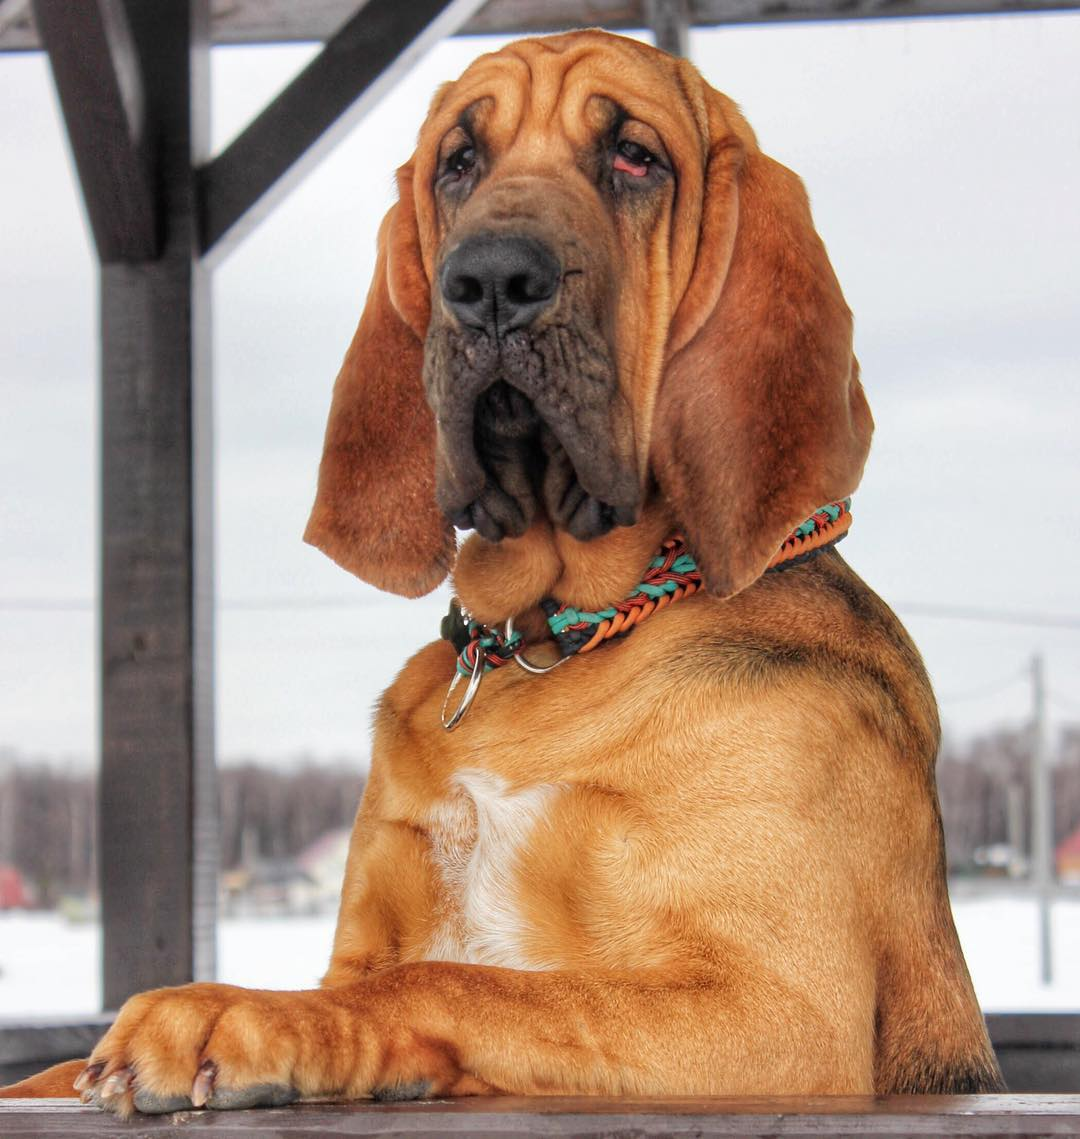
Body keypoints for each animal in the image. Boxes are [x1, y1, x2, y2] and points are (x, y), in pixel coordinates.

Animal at [6, 28, 1002, 1111]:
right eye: (459, 161)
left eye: (635, 157)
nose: (487, 281)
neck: (545, 641)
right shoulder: (362, 937)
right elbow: (64, 1065)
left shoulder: (779, 1010)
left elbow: (462, 980)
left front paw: (227, 1008)